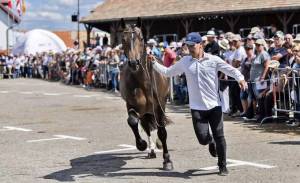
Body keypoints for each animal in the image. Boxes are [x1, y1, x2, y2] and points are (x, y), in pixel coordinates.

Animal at [118, 17, 172, 169]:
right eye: (123, 39)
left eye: (141, 38)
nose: (133, 63)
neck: (143, 81)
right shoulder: (131, 105)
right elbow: (132, 121)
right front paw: (141, 144)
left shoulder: (159, 105)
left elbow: (162, 130)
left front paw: (167, 160)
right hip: (144, 111)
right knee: (146, 126)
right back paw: (151, 150)